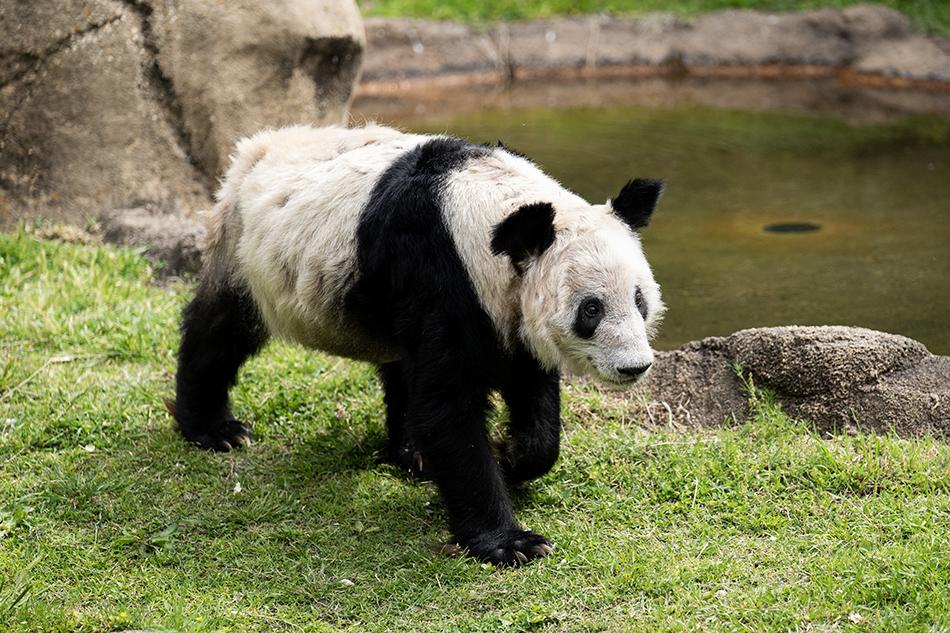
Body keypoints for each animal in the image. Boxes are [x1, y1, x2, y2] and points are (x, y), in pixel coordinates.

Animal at [175, 122, 668, 564]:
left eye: (639, 299)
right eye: (591, 309)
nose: (635, 367)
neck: (484, 207)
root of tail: (255, 145)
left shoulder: (502, 305)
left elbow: (530, 389)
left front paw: (513, 456)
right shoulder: (439, 271)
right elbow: (447, 408)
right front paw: (510, 542)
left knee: (402, 366)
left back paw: (411, 454)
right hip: (243, 248)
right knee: (220, 329)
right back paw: (214, 429)